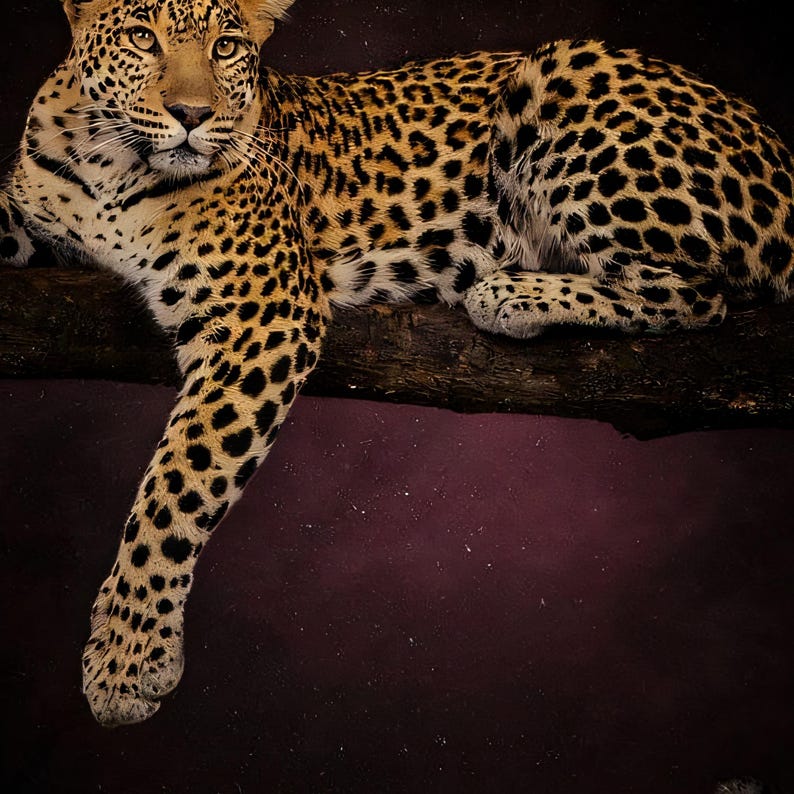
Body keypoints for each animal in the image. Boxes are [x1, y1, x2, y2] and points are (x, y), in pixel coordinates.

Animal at [1, 0, 792, 728]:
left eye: (226, 46)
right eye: (142, 37)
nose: (193, 115)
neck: (111, 165)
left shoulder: (264, 312)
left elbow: (177, 483)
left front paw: (127, 658)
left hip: (565, 78)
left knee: (700, 293)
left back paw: (512, 293)